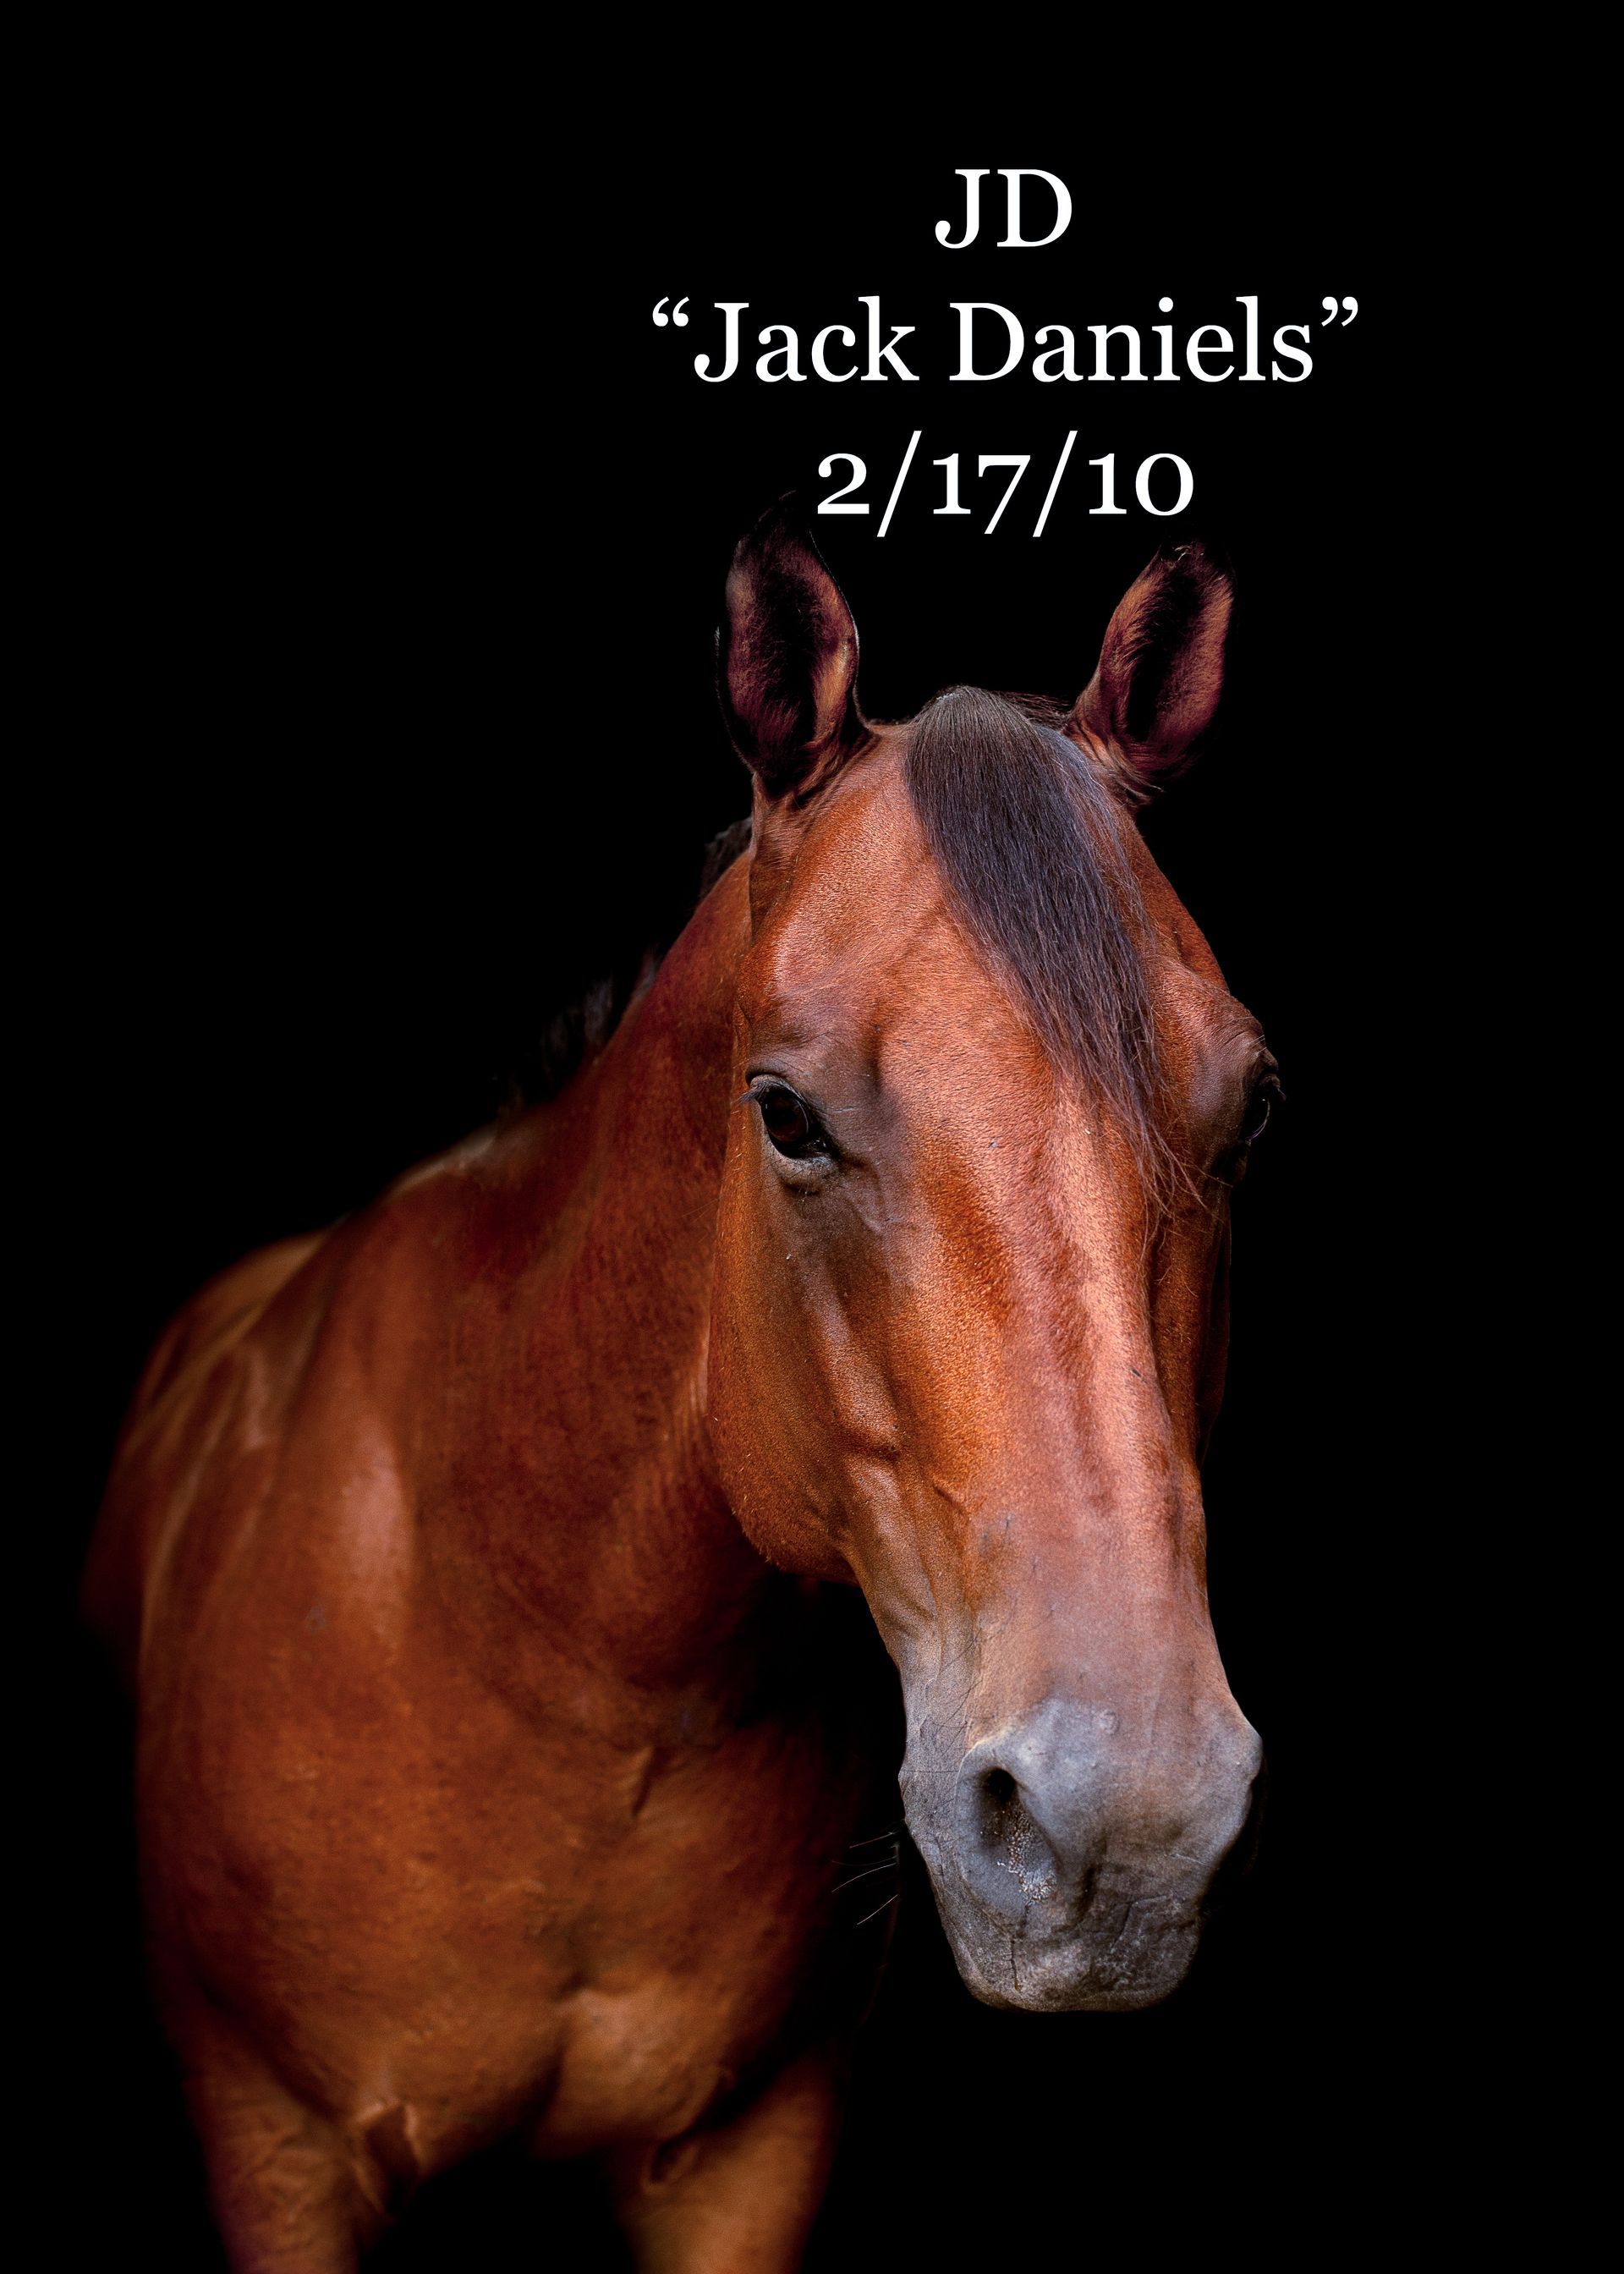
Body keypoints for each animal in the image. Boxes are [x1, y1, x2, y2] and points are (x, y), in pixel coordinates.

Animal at [83, 502, 1277, 2271]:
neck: (543, 1635)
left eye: (1249, 1106)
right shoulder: (277, 2152)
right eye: (785, 1112)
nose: (1121, 1825)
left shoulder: (746, 2156)